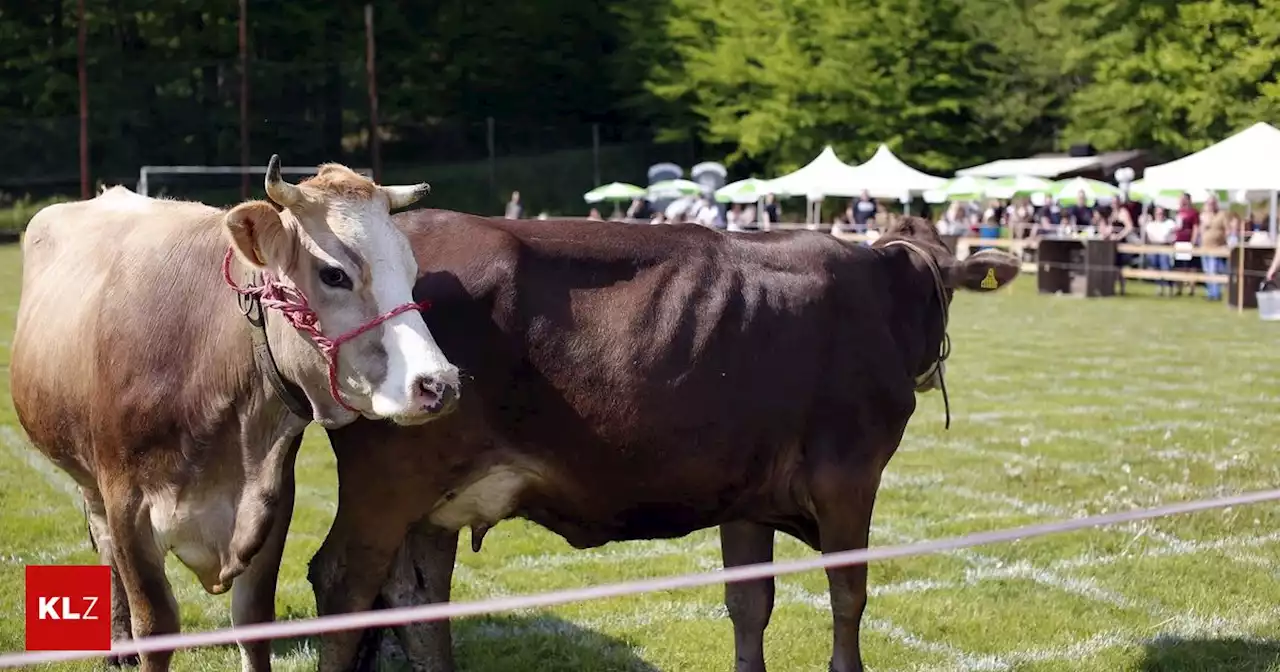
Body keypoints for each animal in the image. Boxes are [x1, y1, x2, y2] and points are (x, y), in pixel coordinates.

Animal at [10, 158, 463, 670]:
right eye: (334, 274)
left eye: (411, 268)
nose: (438, 383)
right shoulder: (127, 504)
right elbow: (156, 624)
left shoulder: (271, 501)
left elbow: (253, 619)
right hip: (88, 479)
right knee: (104, 546)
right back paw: (119, 641)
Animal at [309, 212, 1018, 665]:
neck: (883, 297)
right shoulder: (849, 473)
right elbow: (849, 593)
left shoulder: (747, 491)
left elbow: (749, 604)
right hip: (390, 482)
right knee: (343, 585)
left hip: (433, 498)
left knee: (416, 601)